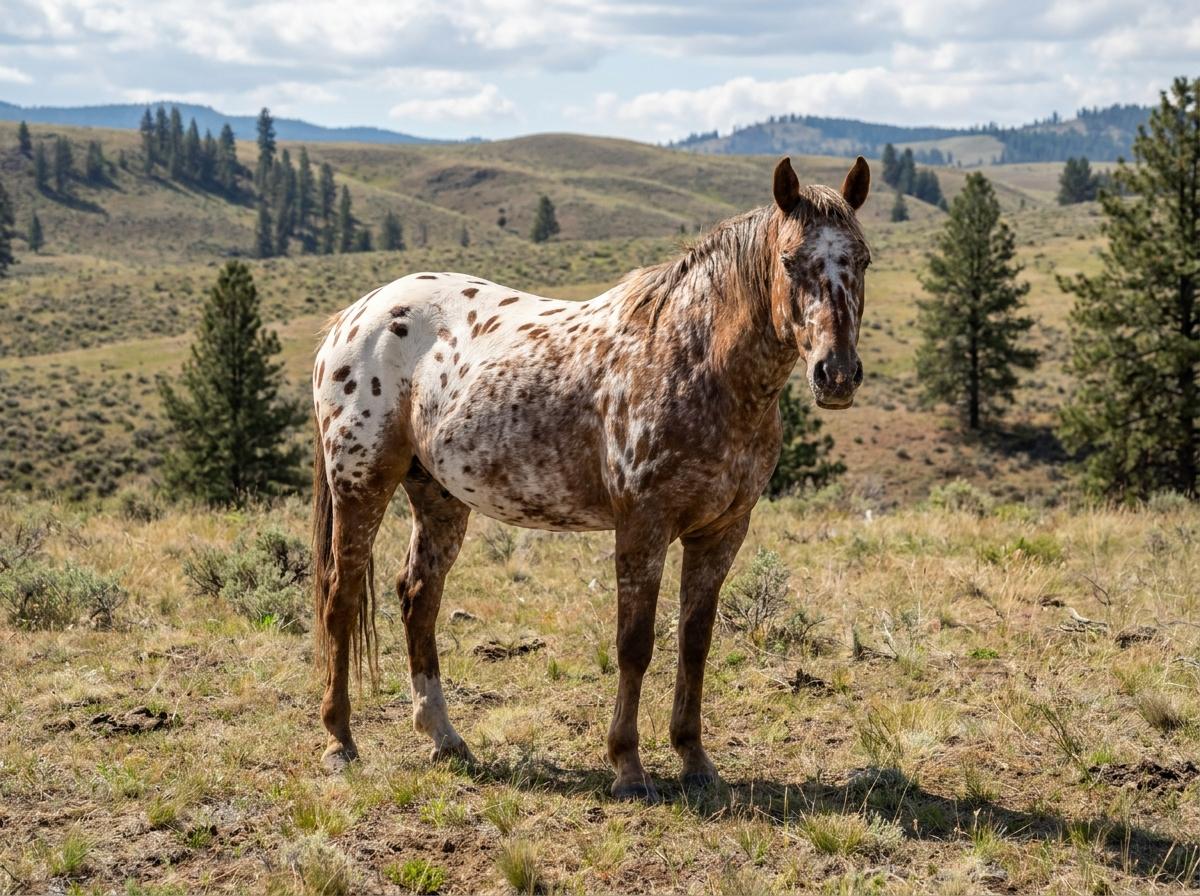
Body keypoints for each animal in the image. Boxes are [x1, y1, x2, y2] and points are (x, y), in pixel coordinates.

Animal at [311, 156, 871, 800]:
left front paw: (695, 760)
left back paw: (445, 739)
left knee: (417, 598)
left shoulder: (721, 532)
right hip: (361, 486)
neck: (698, 361)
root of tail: (354, 317)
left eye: (862, 260)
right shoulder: (643, 528)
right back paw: (340, 742)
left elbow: (695, 642)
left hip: (439, 498)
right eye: (788, 262)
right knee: (340, 598)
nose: (836, 374)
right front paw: (627, 766)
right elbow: (635, 645)